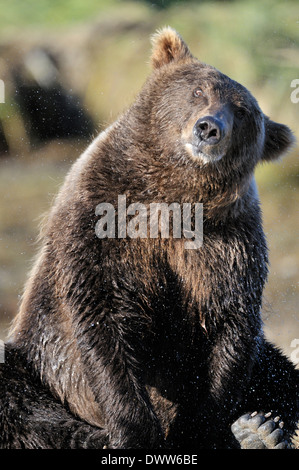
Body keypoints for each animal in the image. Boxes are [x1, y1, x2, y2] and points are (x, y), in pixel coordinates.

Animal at [0, 28, 298, 448]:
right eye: (198, 91)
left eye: (242, 112)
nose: (209, 128)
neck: (173, 200)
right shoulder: (102, 222)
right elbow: (103, 320)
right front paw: (136, 431)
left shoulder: (229, 246)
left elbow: (231, 330)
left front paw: (205, 429)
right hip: (39, 362)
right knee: (16, 392)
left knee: (281, 372)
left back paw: (262, 428)